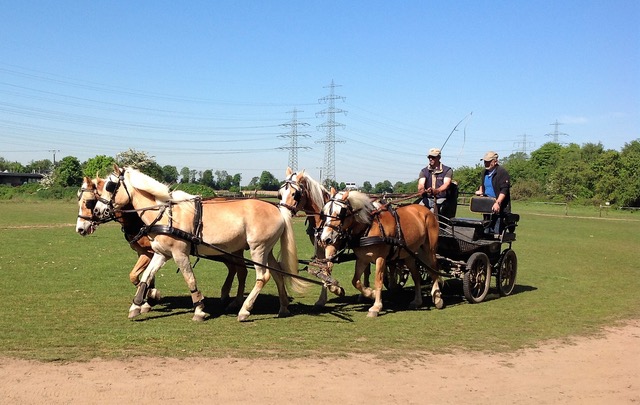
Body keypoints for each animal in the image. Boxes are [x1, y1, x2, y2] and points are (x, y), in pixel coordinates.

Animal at [73, 175, 248, 310]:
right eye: (79, 201)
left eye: (89, 202)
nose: (80, 229)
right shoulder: (146, 252)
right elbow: (142, 275)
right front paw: (147, 298)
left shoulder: (150, 252)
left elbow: (135, 276)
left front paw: (150, 296)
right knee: (235, 268)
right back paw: (226, 295)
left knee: (241, 271)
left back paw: (236, 301)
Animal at [318, 188, 442, 318]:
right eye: (323, 212)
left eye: (340, 213)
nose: (325, 238)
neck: (369, 227)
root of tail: (425, 210)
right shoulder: (362, 258)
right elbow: (355, 281)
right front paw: (370, 293)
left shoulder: (381, 258)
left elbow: (378, 281)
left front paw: (376, 307)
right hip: (409, 254)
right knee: (416, 275)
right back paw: (417, 301)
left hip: (429, 250)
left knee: (433, 270)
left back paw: (437, 298)